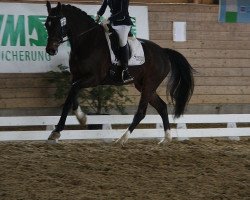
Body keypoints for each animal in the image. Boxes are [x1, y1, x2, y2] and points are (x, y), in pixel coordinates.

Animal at [44, 1, 193, 145]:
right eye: (46, 24)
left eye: (57, 24)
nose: (50, 50)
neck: (87, 41)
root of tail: (163, 52)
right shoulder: (76, 76)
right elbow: (71, 96)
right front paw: (81, 118)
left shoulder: (94, 78)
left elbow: (72, 92)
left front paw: (57, 131)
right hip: (143, 85)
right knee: (161, 107)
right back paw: (166, 138)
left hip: (149, 84)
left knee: (141, 112)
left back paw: (121, 139)